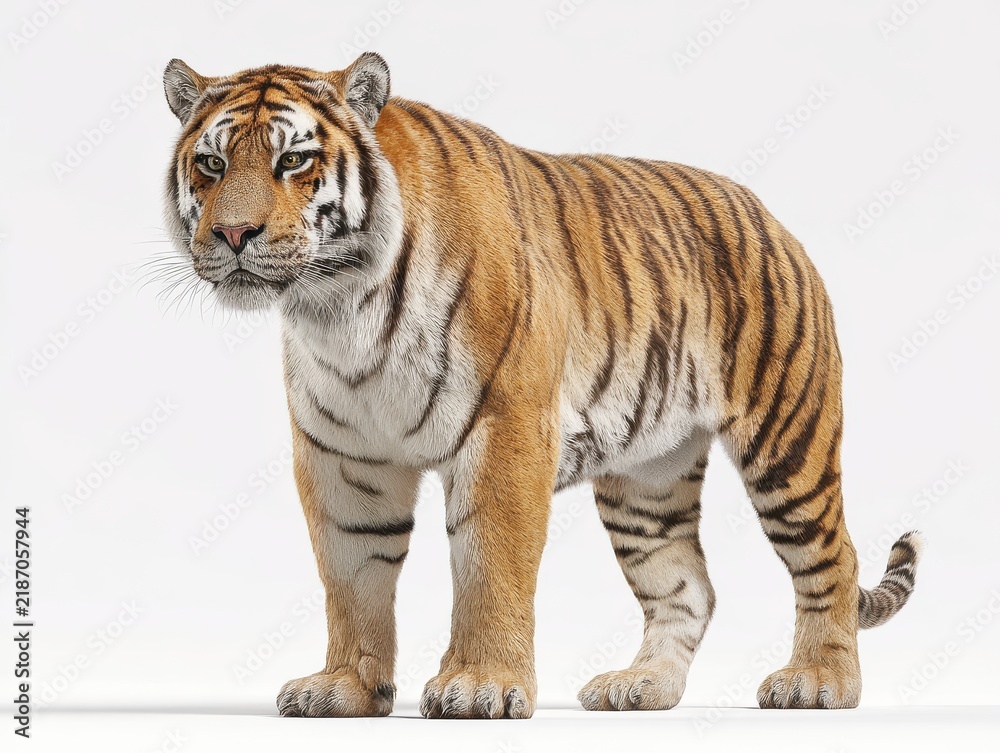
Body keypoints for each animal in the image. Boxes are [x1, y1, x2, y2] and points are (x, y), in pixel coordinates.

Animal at [161, 52, 922, 719]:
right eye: (212, 163)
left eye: (294, 159)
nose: (233, 233)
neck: (337, 305)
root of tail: (767, 211)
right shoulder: (343, 456)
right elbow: (351, 577)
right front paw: (345, 688)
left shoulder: (505, 427)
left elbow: (489, 562)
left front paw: (479, 686)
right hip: (647, 479)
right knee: (688, 586)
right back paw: (642, 685)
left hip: (786, 439)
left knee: (833, 556)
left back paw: (818, 682)